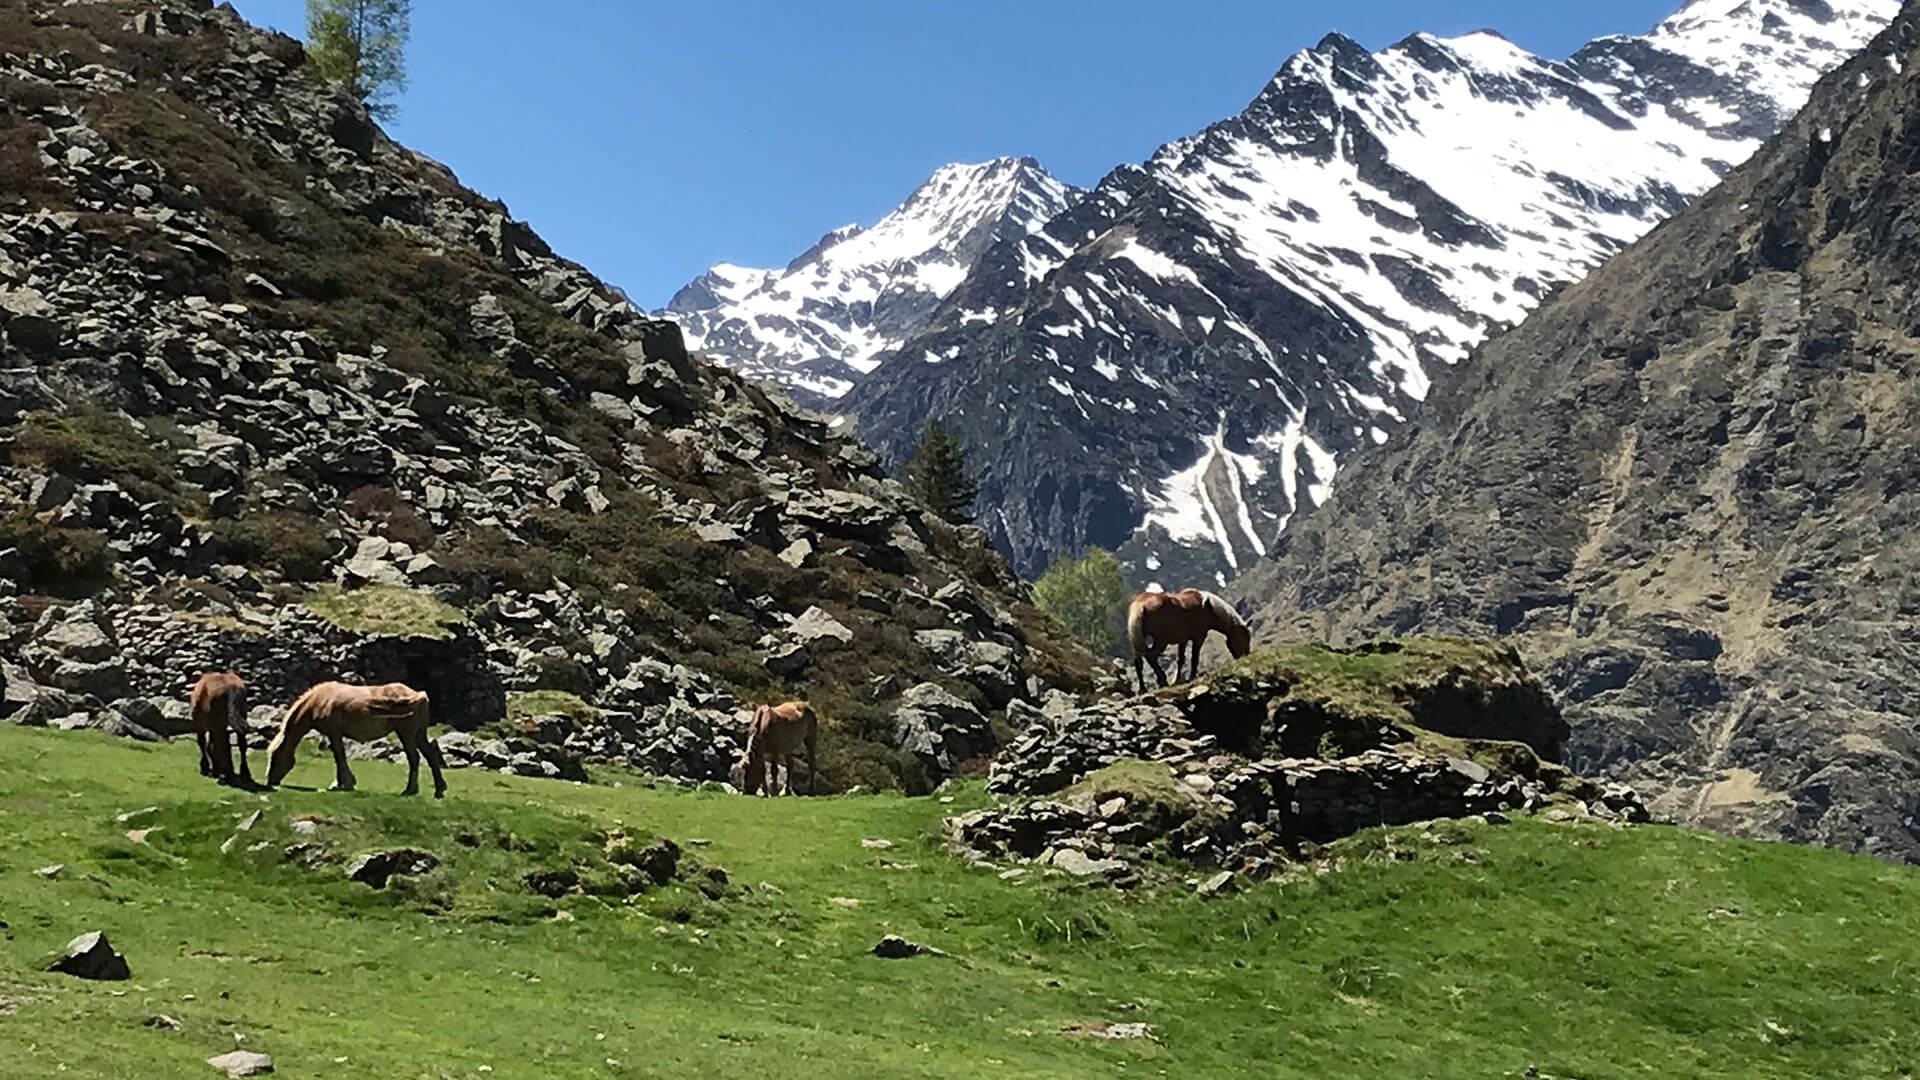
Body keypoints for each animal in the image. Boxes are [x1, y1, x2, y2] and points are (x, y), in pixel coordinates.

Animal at [1121, 584, 1259, 691]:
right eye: (1244, 638)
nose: (1246, 656)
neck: (1208, 606)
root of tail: (1141, 604)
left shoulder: (1183, 640)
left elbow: (1181, 659)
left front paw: (1178, 680)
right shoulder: (1199, 637)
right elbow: (1194, 658)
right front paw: (1192, 677)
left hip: (1139, 640)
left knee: (1139, 661)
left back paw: (1143, 688)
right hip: (1161, 641)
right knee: (1150, 656)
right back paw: (1162, 681)